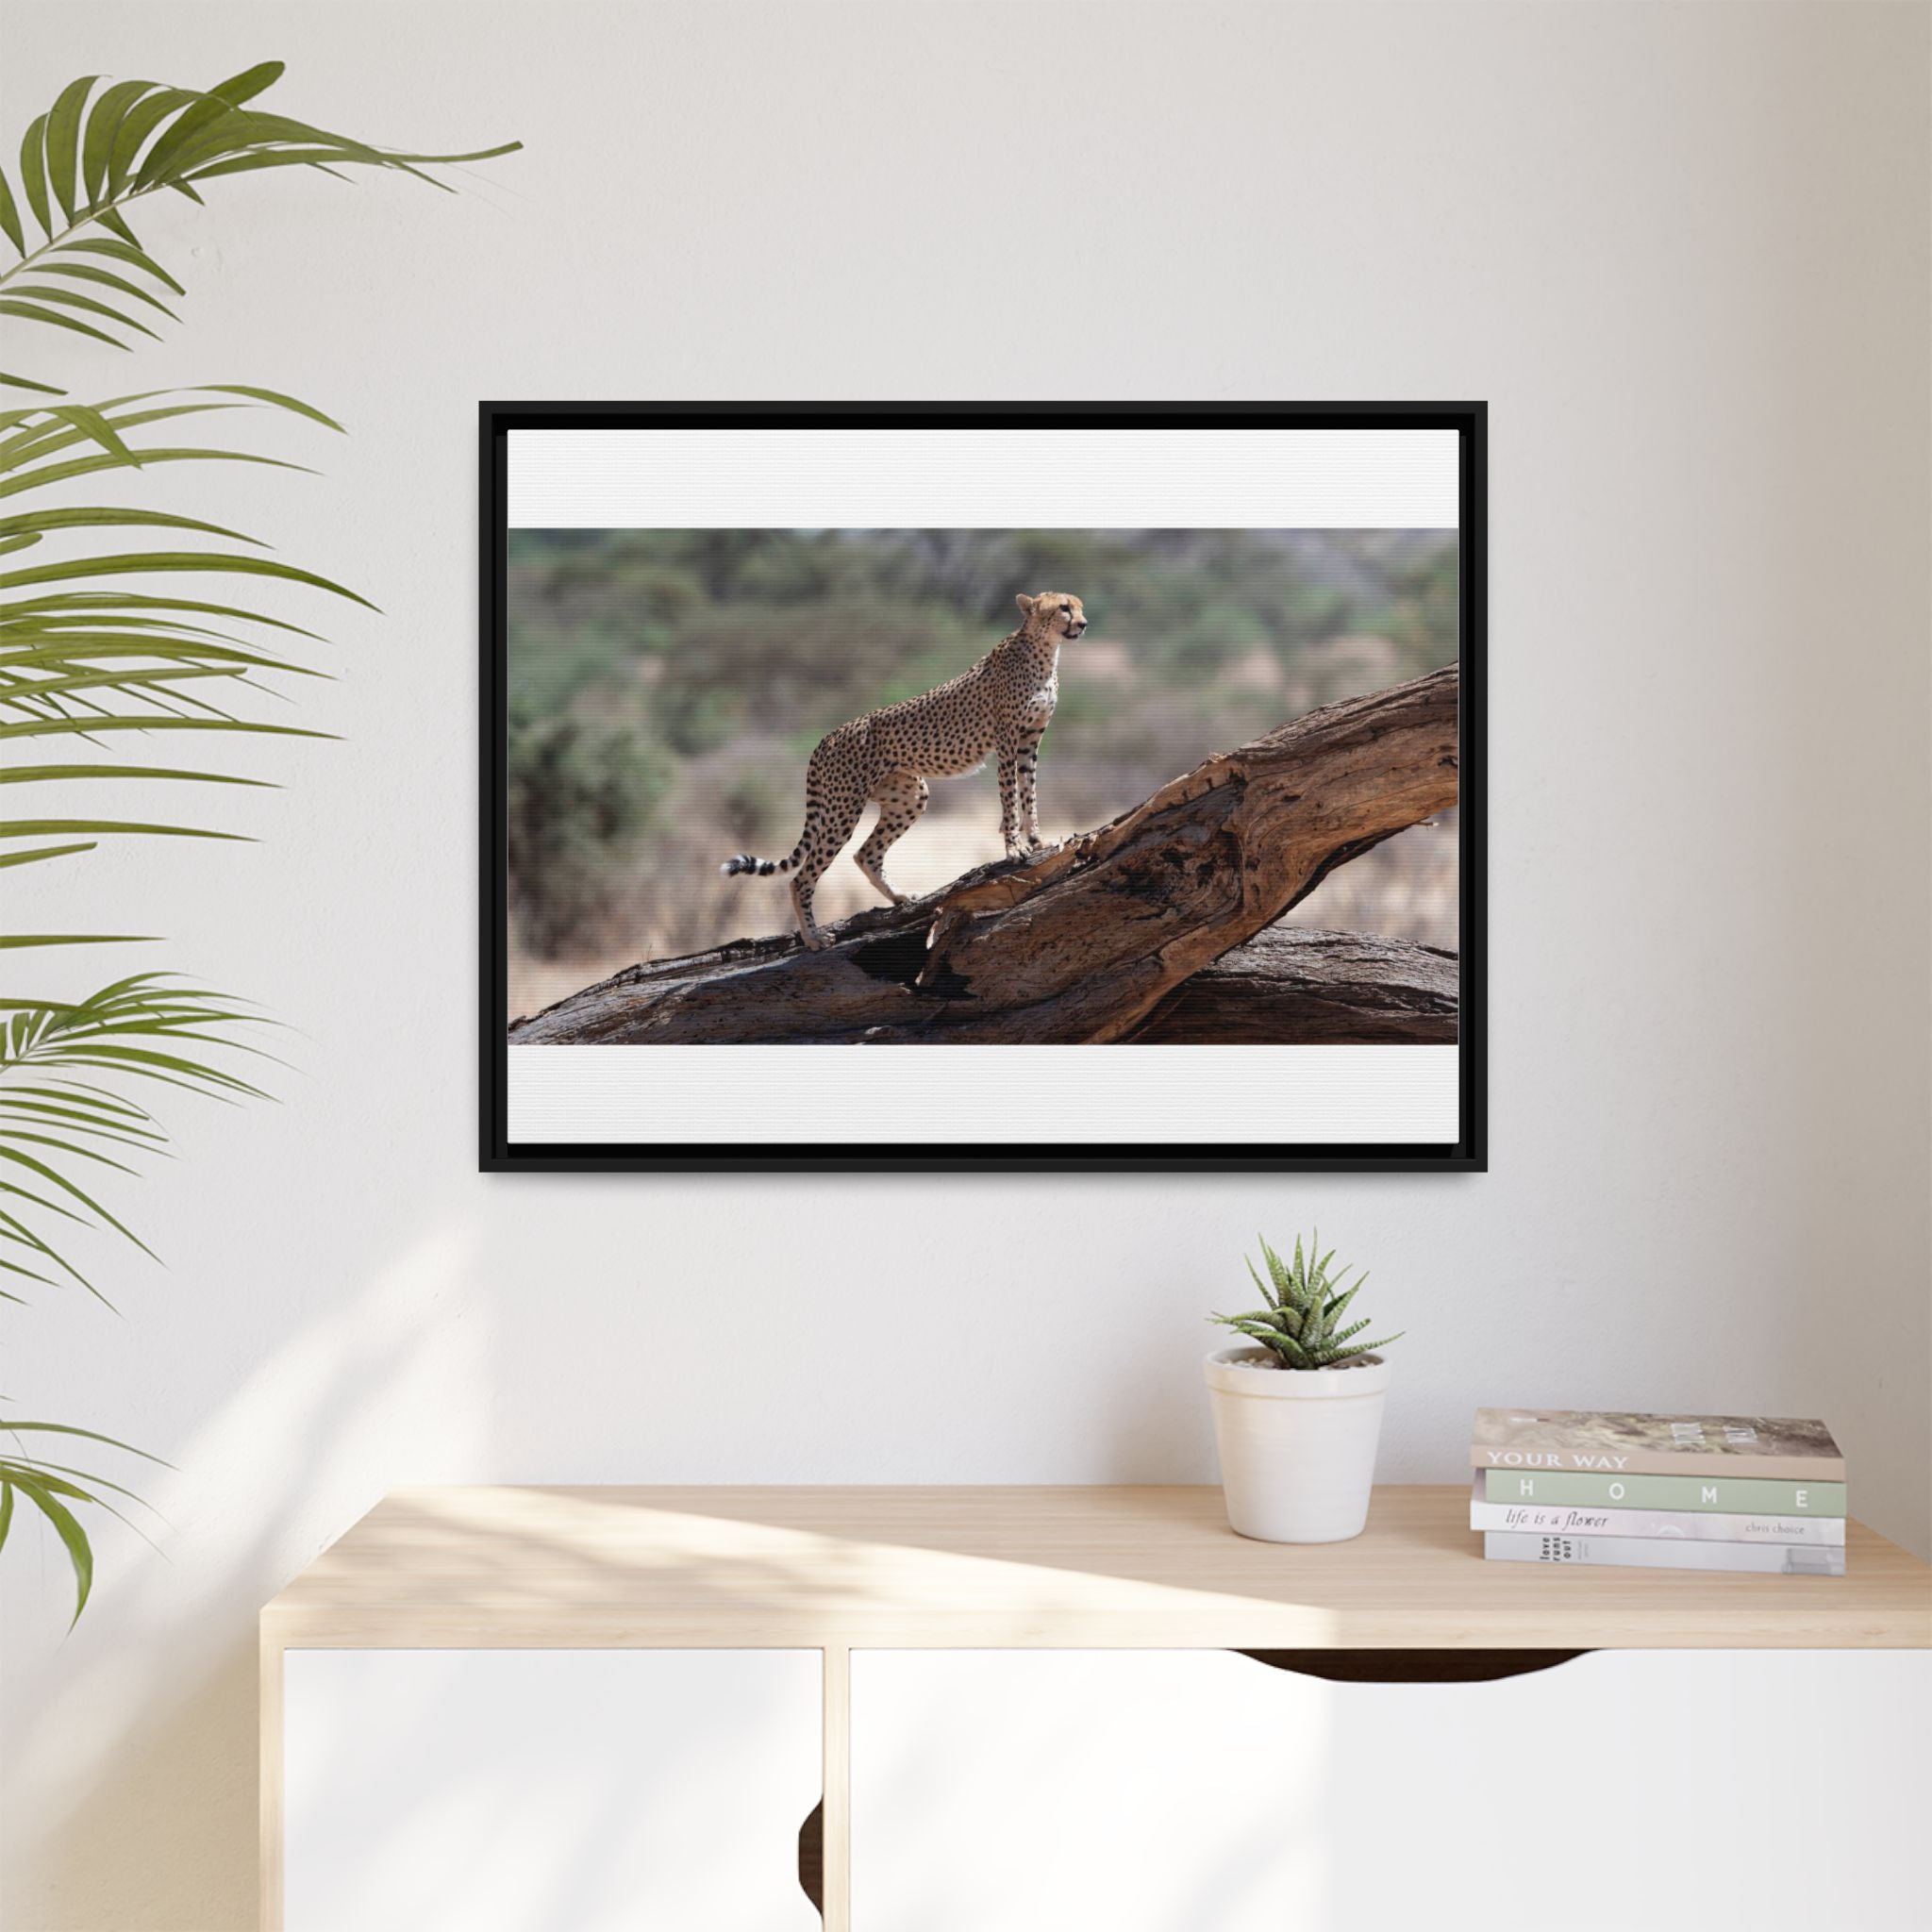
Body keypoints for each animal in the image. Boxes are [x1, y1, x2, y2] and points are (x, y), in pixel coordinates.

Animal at [721, 590, 1089, 949]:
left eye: (1079, 606)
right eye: (1064, 608)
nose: (1083, 624)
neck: (1045, 650)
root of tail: (828, 736)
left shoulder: (1029, 741)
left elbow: (1029, 792)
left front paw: (1037, 839)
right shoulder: (1007, 741)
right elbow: (1010, 798)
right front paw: (1014, 848)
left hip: (909, 795)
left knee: (865, 854)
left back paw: (899, 897)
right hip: (844, 807)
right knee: (802, 877)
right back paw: (814, 937)